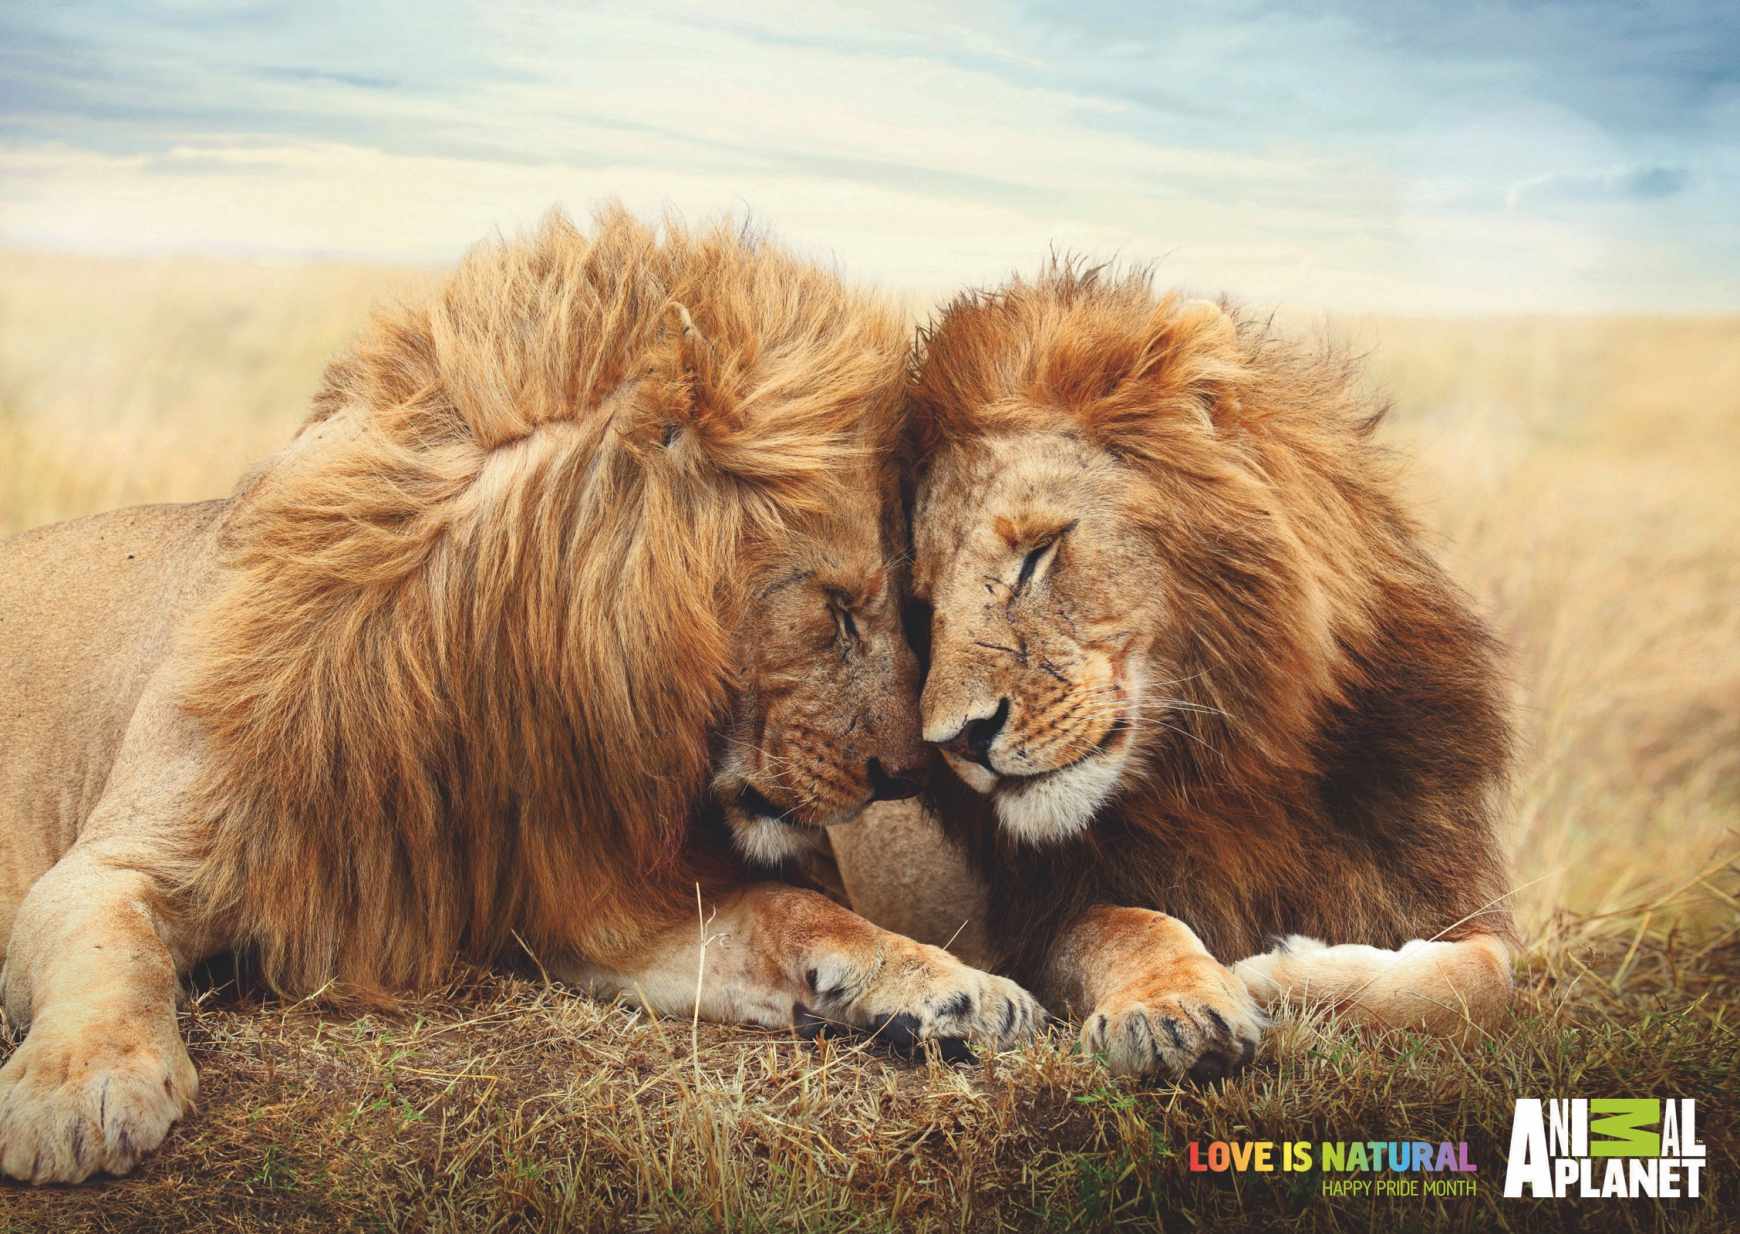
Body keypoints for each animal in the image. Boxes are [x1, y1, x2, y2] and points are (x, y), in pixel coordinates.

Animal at [0, 207, 1041, 1185]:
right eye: (835, 608)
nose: (906, 775)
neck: (489, 675)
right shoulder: (118, 862)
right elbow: (110, 948)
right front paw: (83, 1089)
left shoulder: (590, 900)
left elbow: (792, 913)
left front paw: (959, 988)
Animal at [832, 263, 1514, 1081]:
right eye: (924, 608)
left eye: (1037, 554)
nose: (958, 740)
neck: (1232, 766)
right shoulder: (1038, 921)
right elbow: (1129, 924)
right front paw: (1180, 1007)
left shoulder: (1438, 888)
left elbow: (1485, 978)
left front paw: (1282, 974)